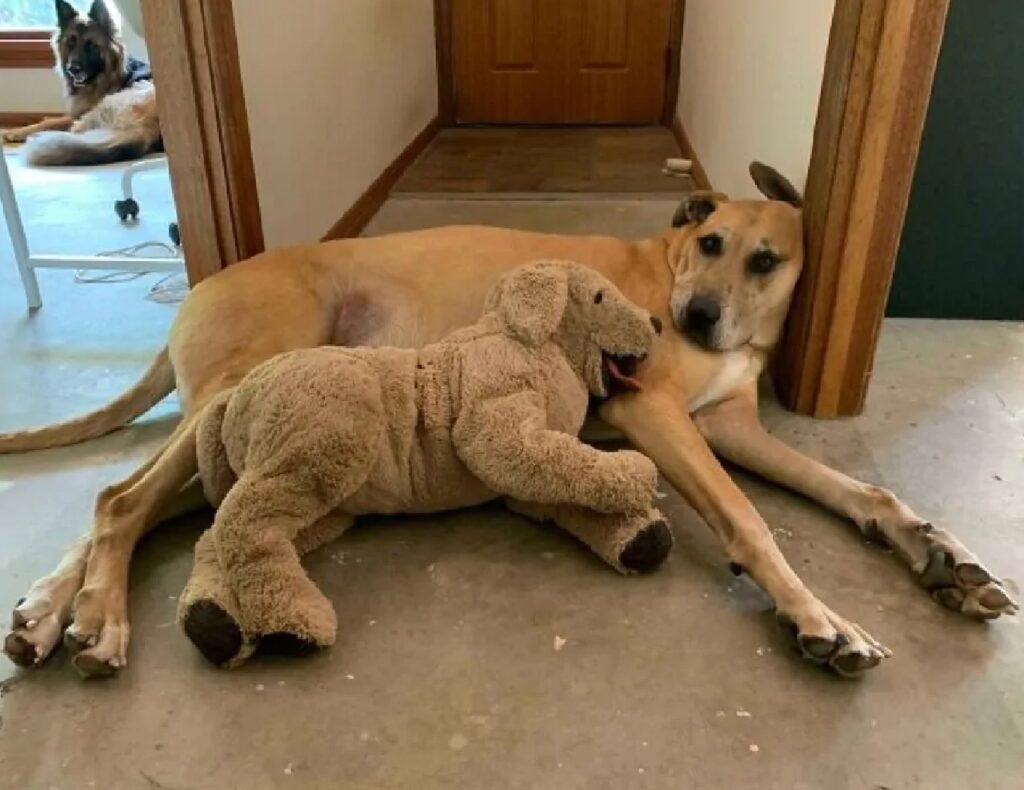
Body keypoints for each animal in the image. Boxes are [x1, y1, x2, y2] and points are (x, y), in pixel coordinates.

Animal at [179, 262, 663, 672]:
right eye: (599, 297)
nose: (657, 324)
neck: (539, 346)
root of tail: (233, 398)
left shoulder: (525, 485)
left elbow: (565, 494)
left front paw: (640, 535)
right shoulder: (496, 410)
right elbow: (547, 457)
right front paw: (636, 471)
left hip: (323, 496)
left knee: (217, 537)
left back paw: (214, 623)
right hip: (321, 434)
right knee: (244, 521)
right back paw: (289, 622)